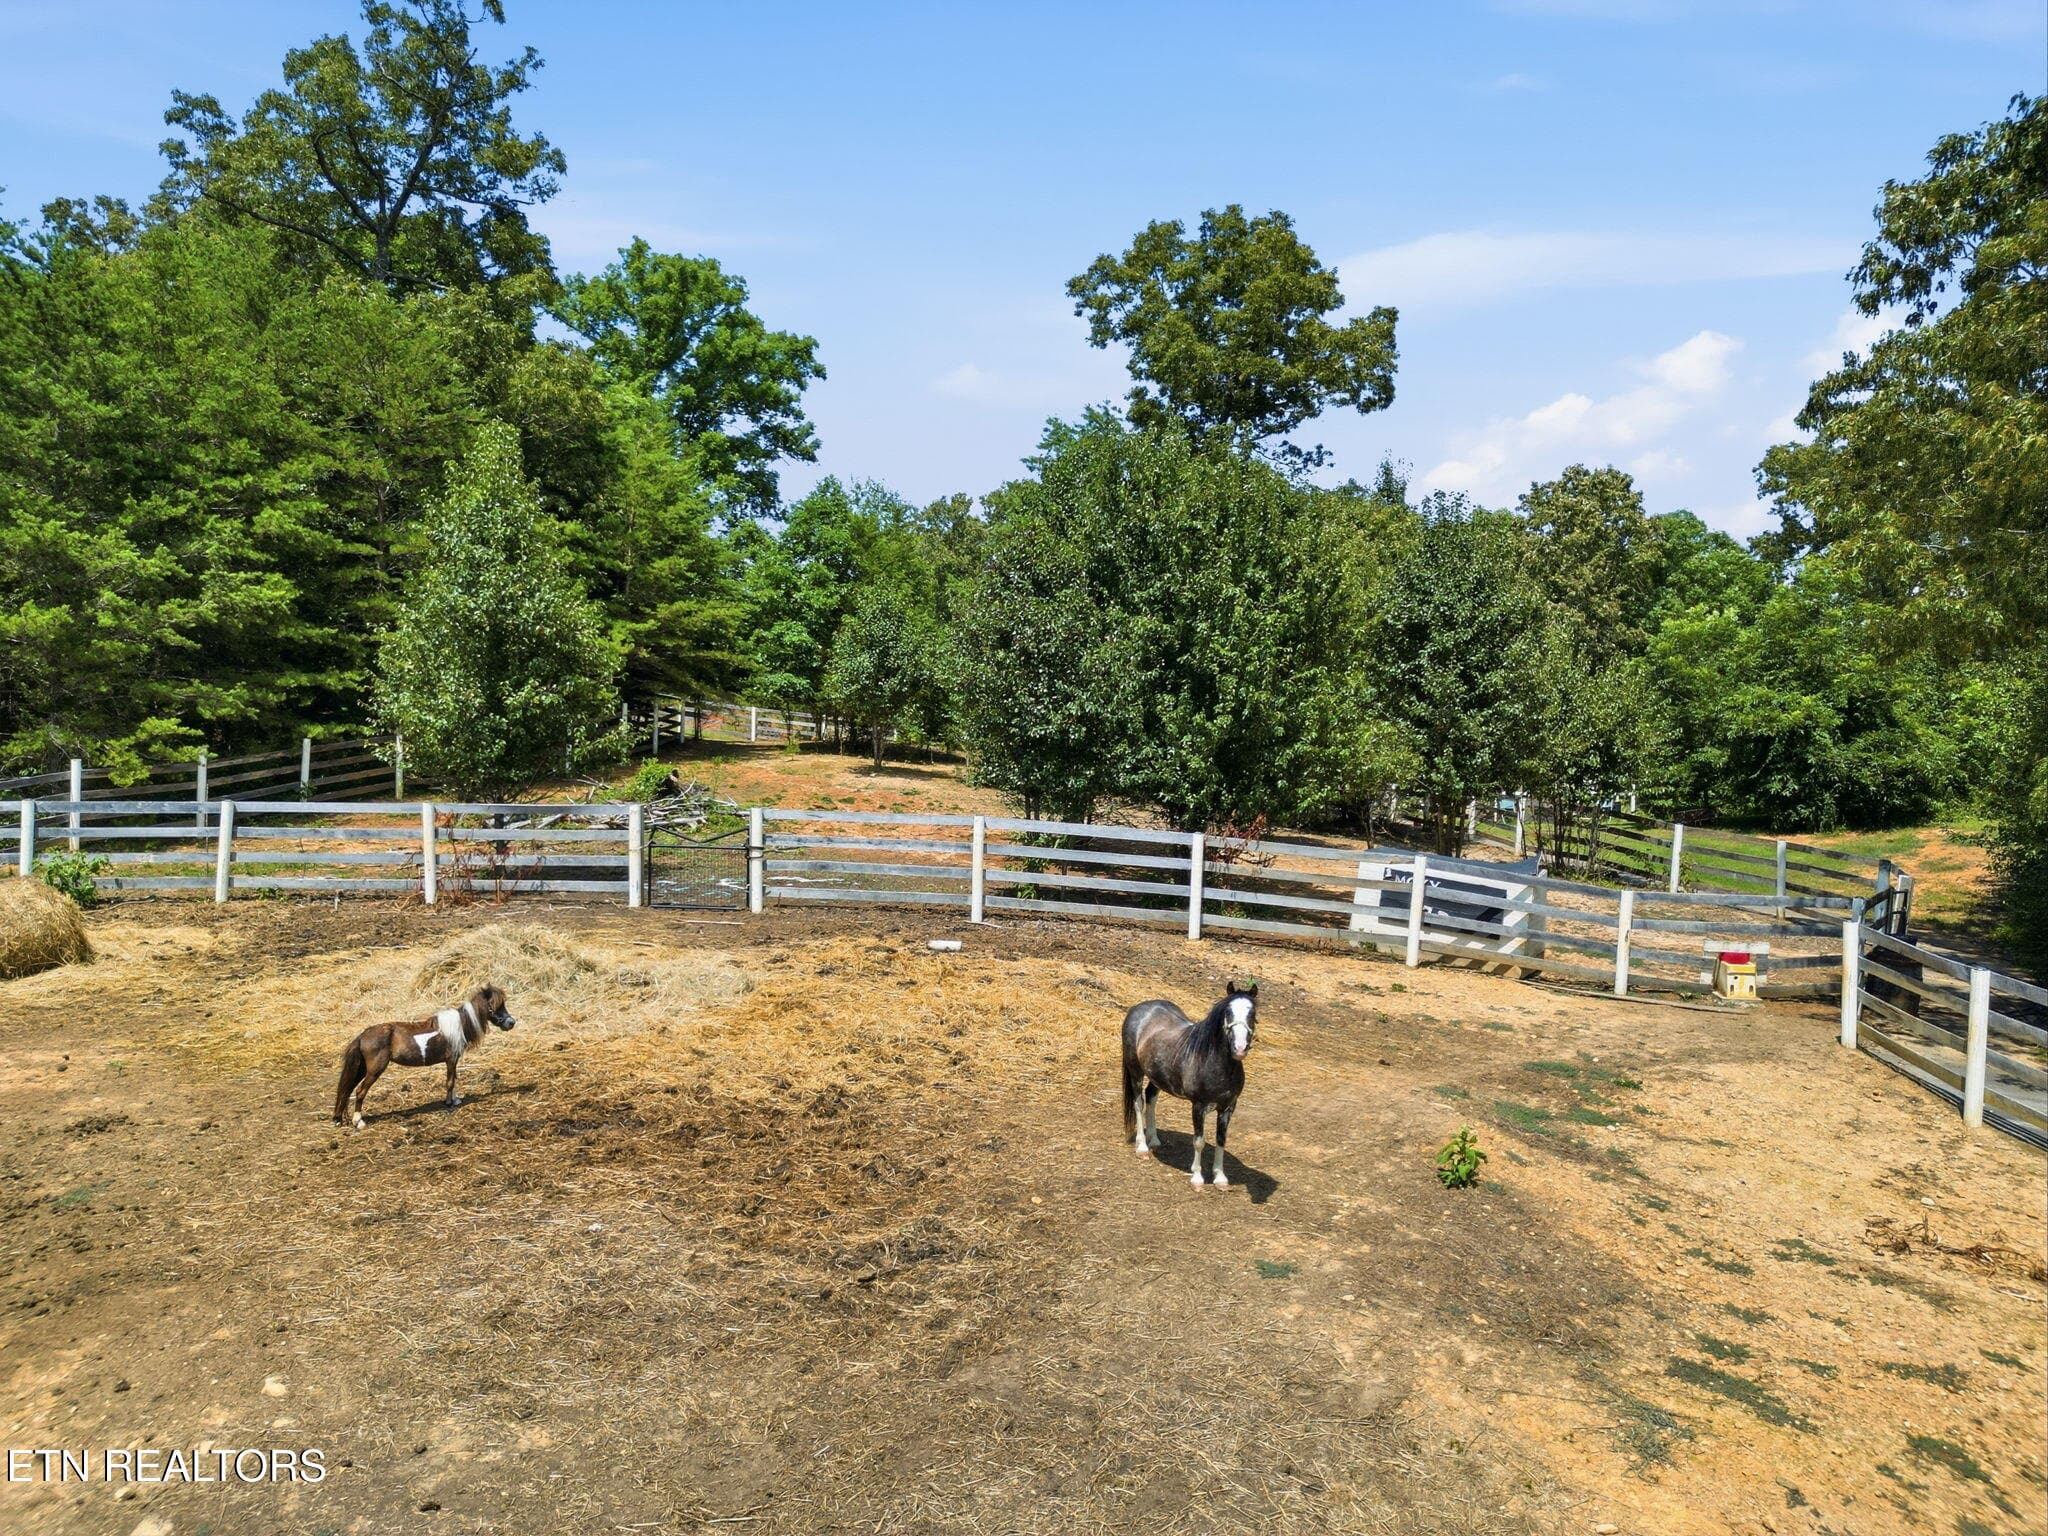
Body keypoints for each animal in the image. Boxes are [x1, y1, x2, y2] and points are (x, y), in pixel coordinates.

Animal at [332, 985, 517, 1130]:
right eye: (495, 1005)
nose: (511, 1023)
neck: (459, 1025)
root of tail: (363, 1036)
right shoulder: (451, 1059)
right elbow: (450, 1082)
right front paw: (449, 1104)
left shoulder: (453, 1061)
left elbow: (454, 1080)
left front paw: (455, 1100)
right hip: (374, 1070)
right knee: (360, 1091)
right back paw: (358, 1121)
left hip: (362, 1069)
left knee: (347, 1090)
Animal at [1121, 982, 1257, 1186]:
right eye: (1228, 1012)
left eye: (1252, 1013)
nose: (1239, 1049)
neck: (1212, 1060)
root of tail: (1139, 1009)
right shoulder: (1198, 1106)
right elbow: (1199, 1141)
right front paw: (1197, 1178)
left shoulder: (1228, 1107)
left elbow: (1221, 1139)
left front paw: (1220, 1178)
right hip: (1135, 1072)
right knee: (1139, 1103)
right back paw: (1143, 1147)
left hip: (1157, 1077)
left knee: (1151, 1098)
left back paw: (1154, 1140)